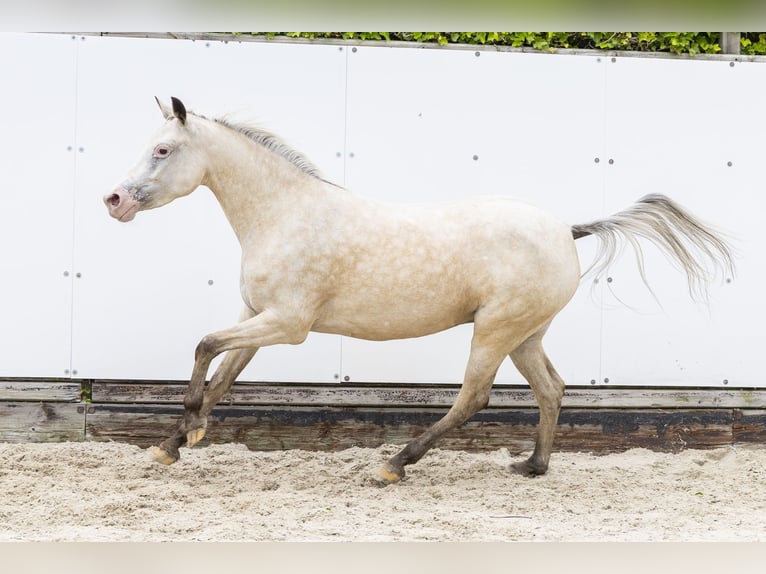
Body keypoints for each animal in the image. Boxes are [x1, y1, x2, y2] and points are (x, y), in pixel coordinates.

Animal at [104, 97, 735, 483]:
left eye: (162, 150)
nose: (113, 200)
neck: (285, 214)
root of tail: (566, 229)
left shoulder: (288, 323)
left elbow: (204, 347)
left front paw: (187, 430)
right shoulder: (256, 315)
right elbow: (223, 374)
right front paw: (173, 443)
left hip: (496, 329)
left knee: (473, 399)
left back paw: (395, 464)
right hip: (525, 334)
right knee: (552, 390)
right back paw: (532, 466)